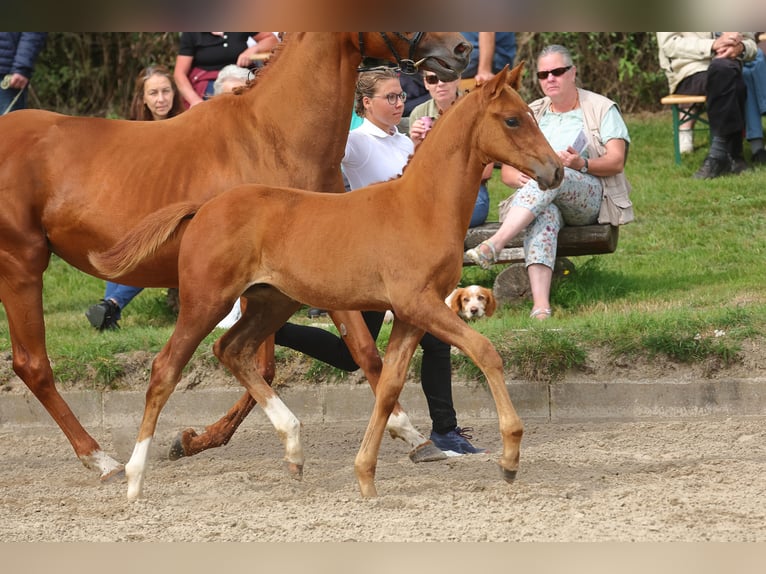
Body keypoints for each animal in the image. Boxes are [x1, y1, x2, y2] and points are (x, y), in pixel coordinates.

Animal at [0, 31, 472, 482]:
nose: (461, 49)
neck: (274, 138)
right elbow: (262, 365)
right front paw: (195, 441)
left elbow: (359, 349)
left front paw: (412, 435)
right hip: (22, 265)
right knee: (33, 365)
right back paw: (102, 460)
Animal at [93, 65, 568, 502]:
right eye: (513, 120)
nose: (557, 171)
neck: (421, 206)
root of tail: (204, 208)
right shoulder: (420, 303)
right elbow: (485, 352)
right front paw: (510, 458)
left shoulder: (412, 313)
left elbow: (389, 384)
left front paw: (366, 475)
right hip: (206, 300)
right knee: (165, 370)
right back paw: (133, 478)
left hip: (272, 302)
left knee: (232, 350)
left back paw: (293, 447)